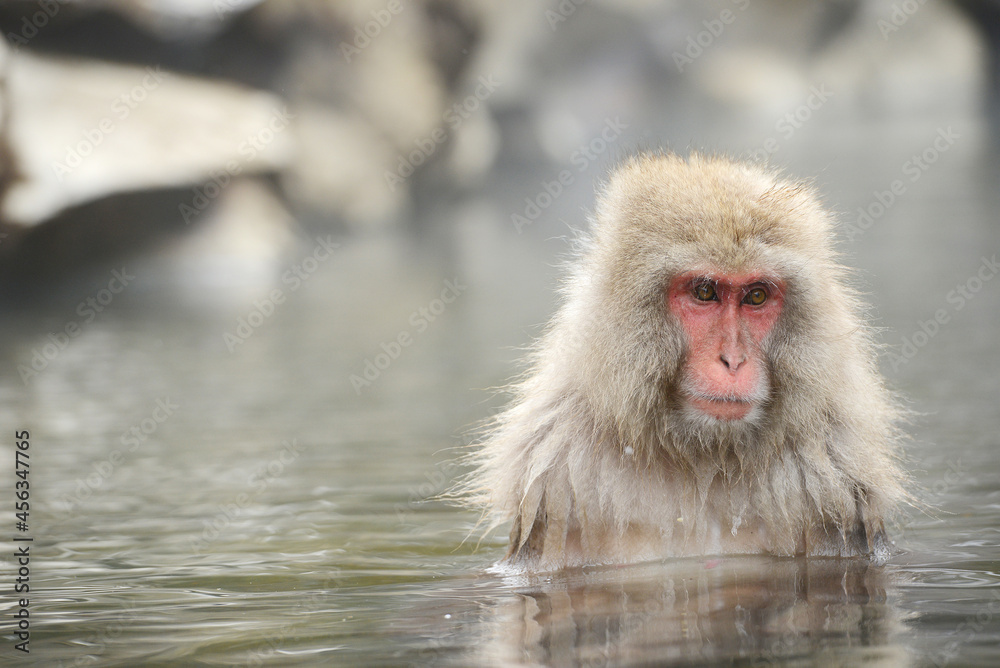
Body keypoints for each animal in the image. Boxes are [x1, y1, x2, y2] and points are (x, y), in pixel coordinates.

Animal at [461, 152, 909, 573]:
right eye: (705, 292)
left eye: (757, 296)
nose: (733, 360)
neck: (702, 460)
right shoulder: (557, 472)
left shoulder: (836, 476)